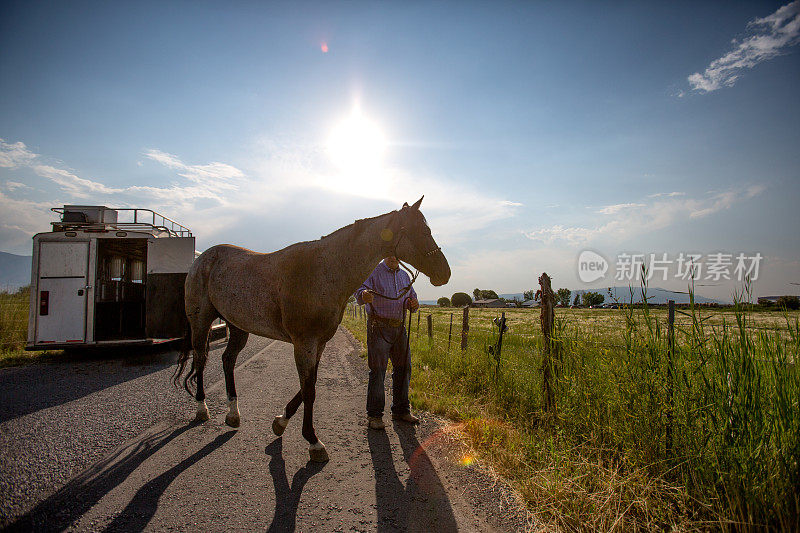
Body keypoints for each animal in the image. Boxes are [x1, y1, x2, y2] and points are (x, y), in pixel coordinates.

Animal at [176, 196, 450, 462]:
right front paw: (313, 441)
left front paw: (281, 421)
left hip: (238, 326)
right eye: (423, 230)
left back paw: (233, 413)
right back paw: (202, 408)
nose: (444, 272)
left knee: (227, 360)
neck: (324, 270)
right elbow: (309, 391)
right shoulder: (304, 344)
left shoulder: (320, 344)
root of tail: (203, 258)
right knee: (201, 359)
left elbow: (309, 385)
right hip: (201, 322)